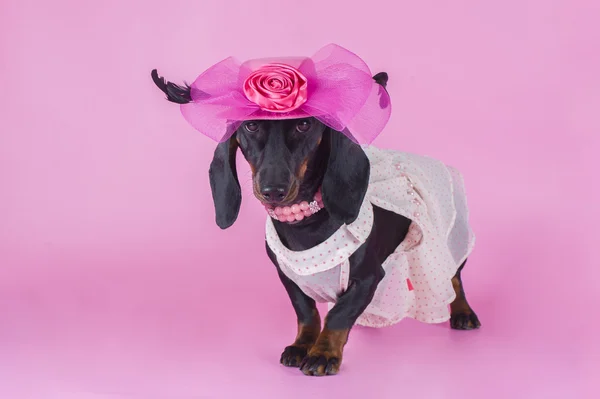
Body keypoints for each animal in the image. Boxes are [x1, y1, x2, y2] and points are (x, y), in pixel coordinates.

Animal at [152, 67, 480, 376]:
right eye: (251, 125)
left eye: (304, 124)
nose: (273, 190)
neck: (305, 223)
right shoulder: (288, 276)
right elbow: (307, 313)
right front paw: (302, 346)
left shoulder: (368, 276)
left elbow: (337, 315)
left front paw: (323, 354)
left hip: (452, 238)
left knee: (454, 278)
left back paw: (463, 312)